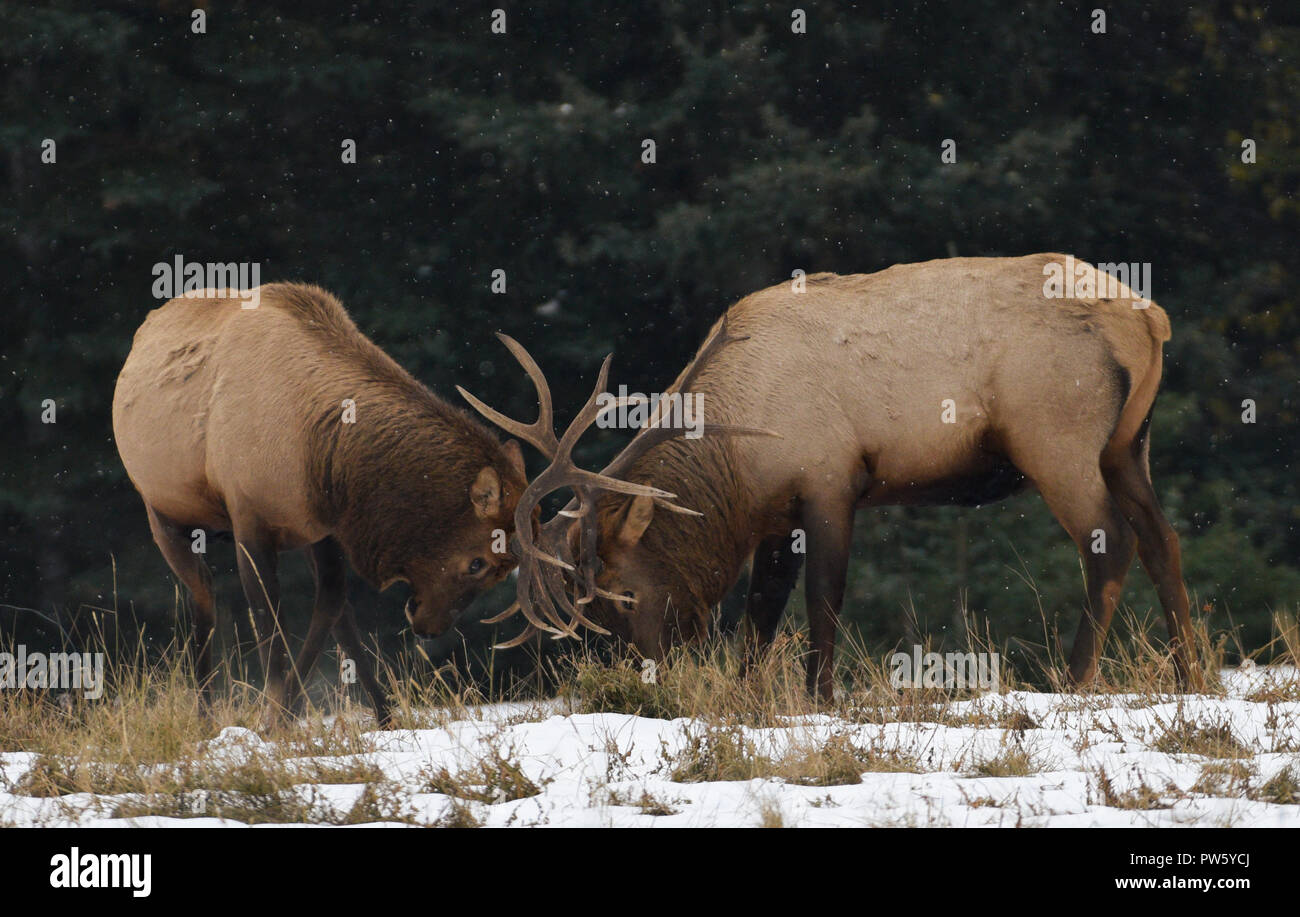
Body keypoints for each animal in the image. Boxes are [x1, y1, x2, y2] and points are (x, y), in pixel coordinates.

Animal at [113, 282, 527, 728]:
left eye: (505, 573)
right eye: (477, 562)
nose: (428, 627)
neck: (317, 446)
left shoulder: (324, 525)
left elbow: (331, 604)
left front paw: (288, 714)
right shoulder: (249, 517)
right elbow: (270, 622)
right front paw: (273, 718)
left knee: (333, 610)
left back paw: (382, 715)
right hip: (161, 511)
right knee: (203, 594)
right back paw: (205, 717)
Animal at [462, 253, 1201, 697]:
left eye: (617, 592)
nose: (647, 676)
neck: (739, 460)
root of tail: (1151, 320)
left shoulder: (830, 481)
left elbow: (822, 598)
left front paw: (819, 693)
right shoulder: (776, 514)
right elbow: (760, 610)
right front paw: (749, 691)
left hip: (1056, 438)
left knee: (1110, 542)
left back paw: (1073, 680)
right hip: (1128, 445)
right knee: (1164, 540)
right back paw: (1190, 677)